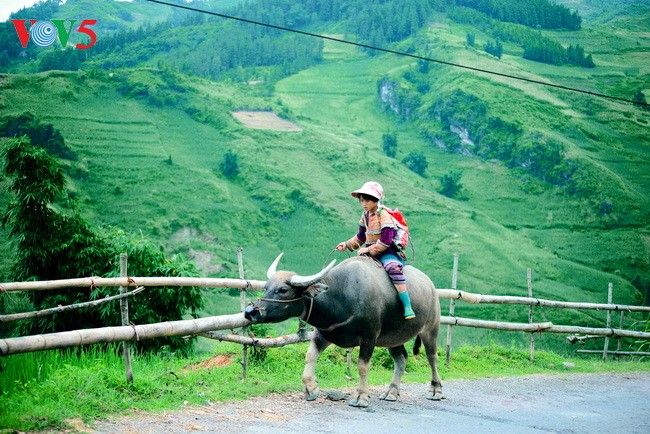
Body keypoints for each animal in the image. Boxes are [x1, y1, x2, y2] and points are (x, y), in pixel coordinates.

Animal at [243, 253, 440, 408]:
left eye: (283, 290)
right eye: (266, 287)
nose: (250, 312)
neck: (341, 295)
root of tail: (431, 285)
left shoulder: (369, 337)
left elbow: (362, 366)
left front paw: (360, 396)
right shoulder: (323, 333)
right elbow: (310, 356)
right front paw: (311, 389)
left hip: (431, 328)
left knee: (432, 357)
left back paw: (435, 390)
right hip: (392, 337)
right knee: (401, 358)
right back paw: (391, 392)